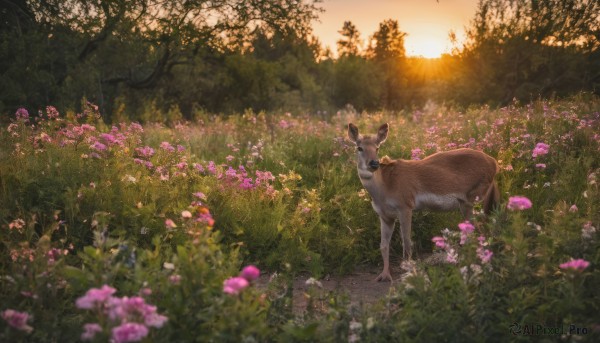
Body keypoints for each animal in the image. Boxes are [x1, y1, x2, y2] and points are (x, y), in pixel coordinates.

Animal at [344, 123, 500, 282]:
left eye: (377, 148)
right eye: (359, 148)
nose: (374, 163)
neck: (385, 187)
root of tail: (494, 163)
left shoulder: (405, 206)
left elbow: (406, 241)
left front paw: (407, 272)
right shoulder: (385, 215)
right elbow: (383, 245)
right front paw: (384, 275)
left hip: (471, 198)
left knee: (479, 230)